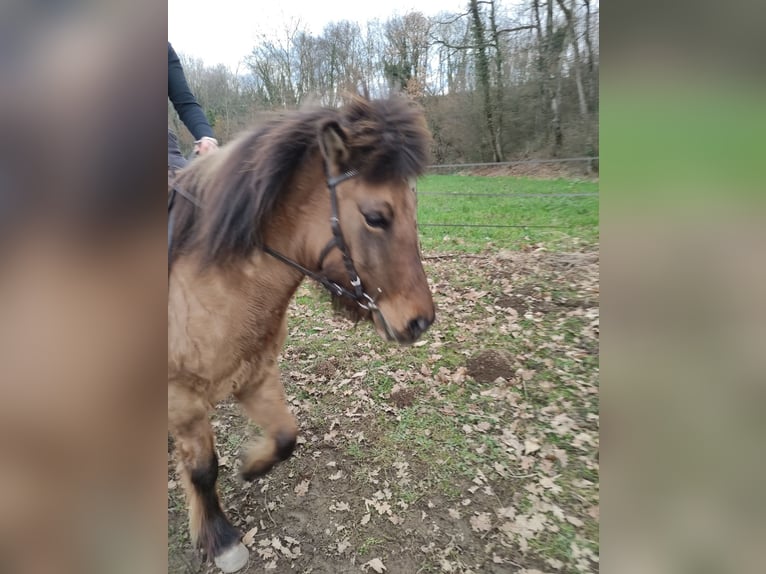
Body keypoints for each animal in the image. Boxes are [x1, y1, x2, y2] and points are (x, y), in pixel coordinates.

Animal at [168, 95, 435, 572]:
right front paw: (220, 539)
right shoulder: (182, 401)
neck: (208, 289)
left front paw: (251, 466)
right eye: (375, 217)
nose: (420, 321)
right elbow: (202, 470)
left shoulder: (256, 375)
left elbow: (285, 437)